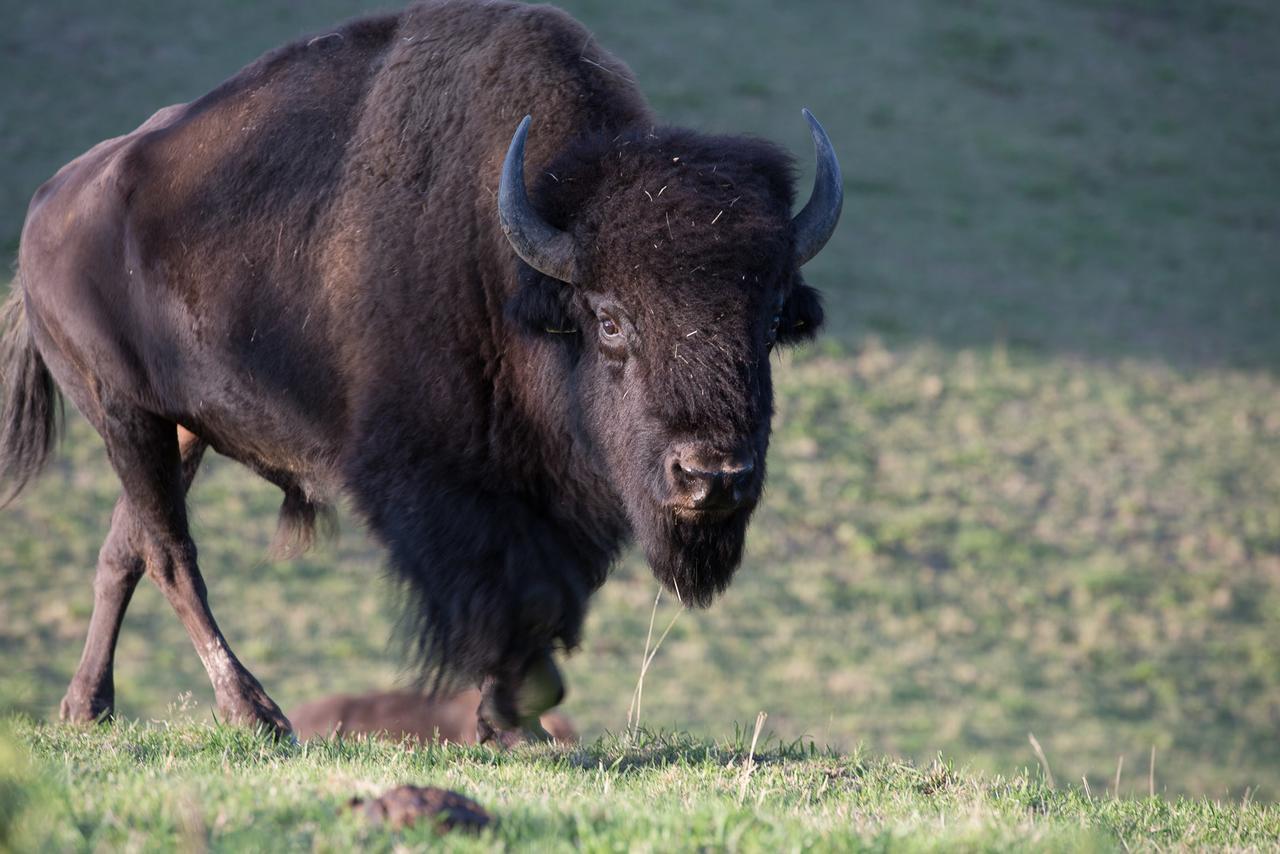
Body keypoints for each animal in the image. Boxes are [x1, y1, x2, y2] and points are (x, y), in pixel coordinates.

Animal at [0, 0, 839, 742]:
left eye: (773, 320)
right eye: (609, 318)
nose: (712, 477)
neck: (513, 267)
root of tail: (47, 206)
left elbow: (541, 600)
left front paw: (515, 722)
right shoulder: (431, 482)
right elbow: (498, 599)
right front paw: (515, 720)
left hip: (179, 428)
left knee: (124, 551)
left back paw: (87, 709)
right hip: (120, 411)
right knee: (172, 554)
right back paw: (256, 715)